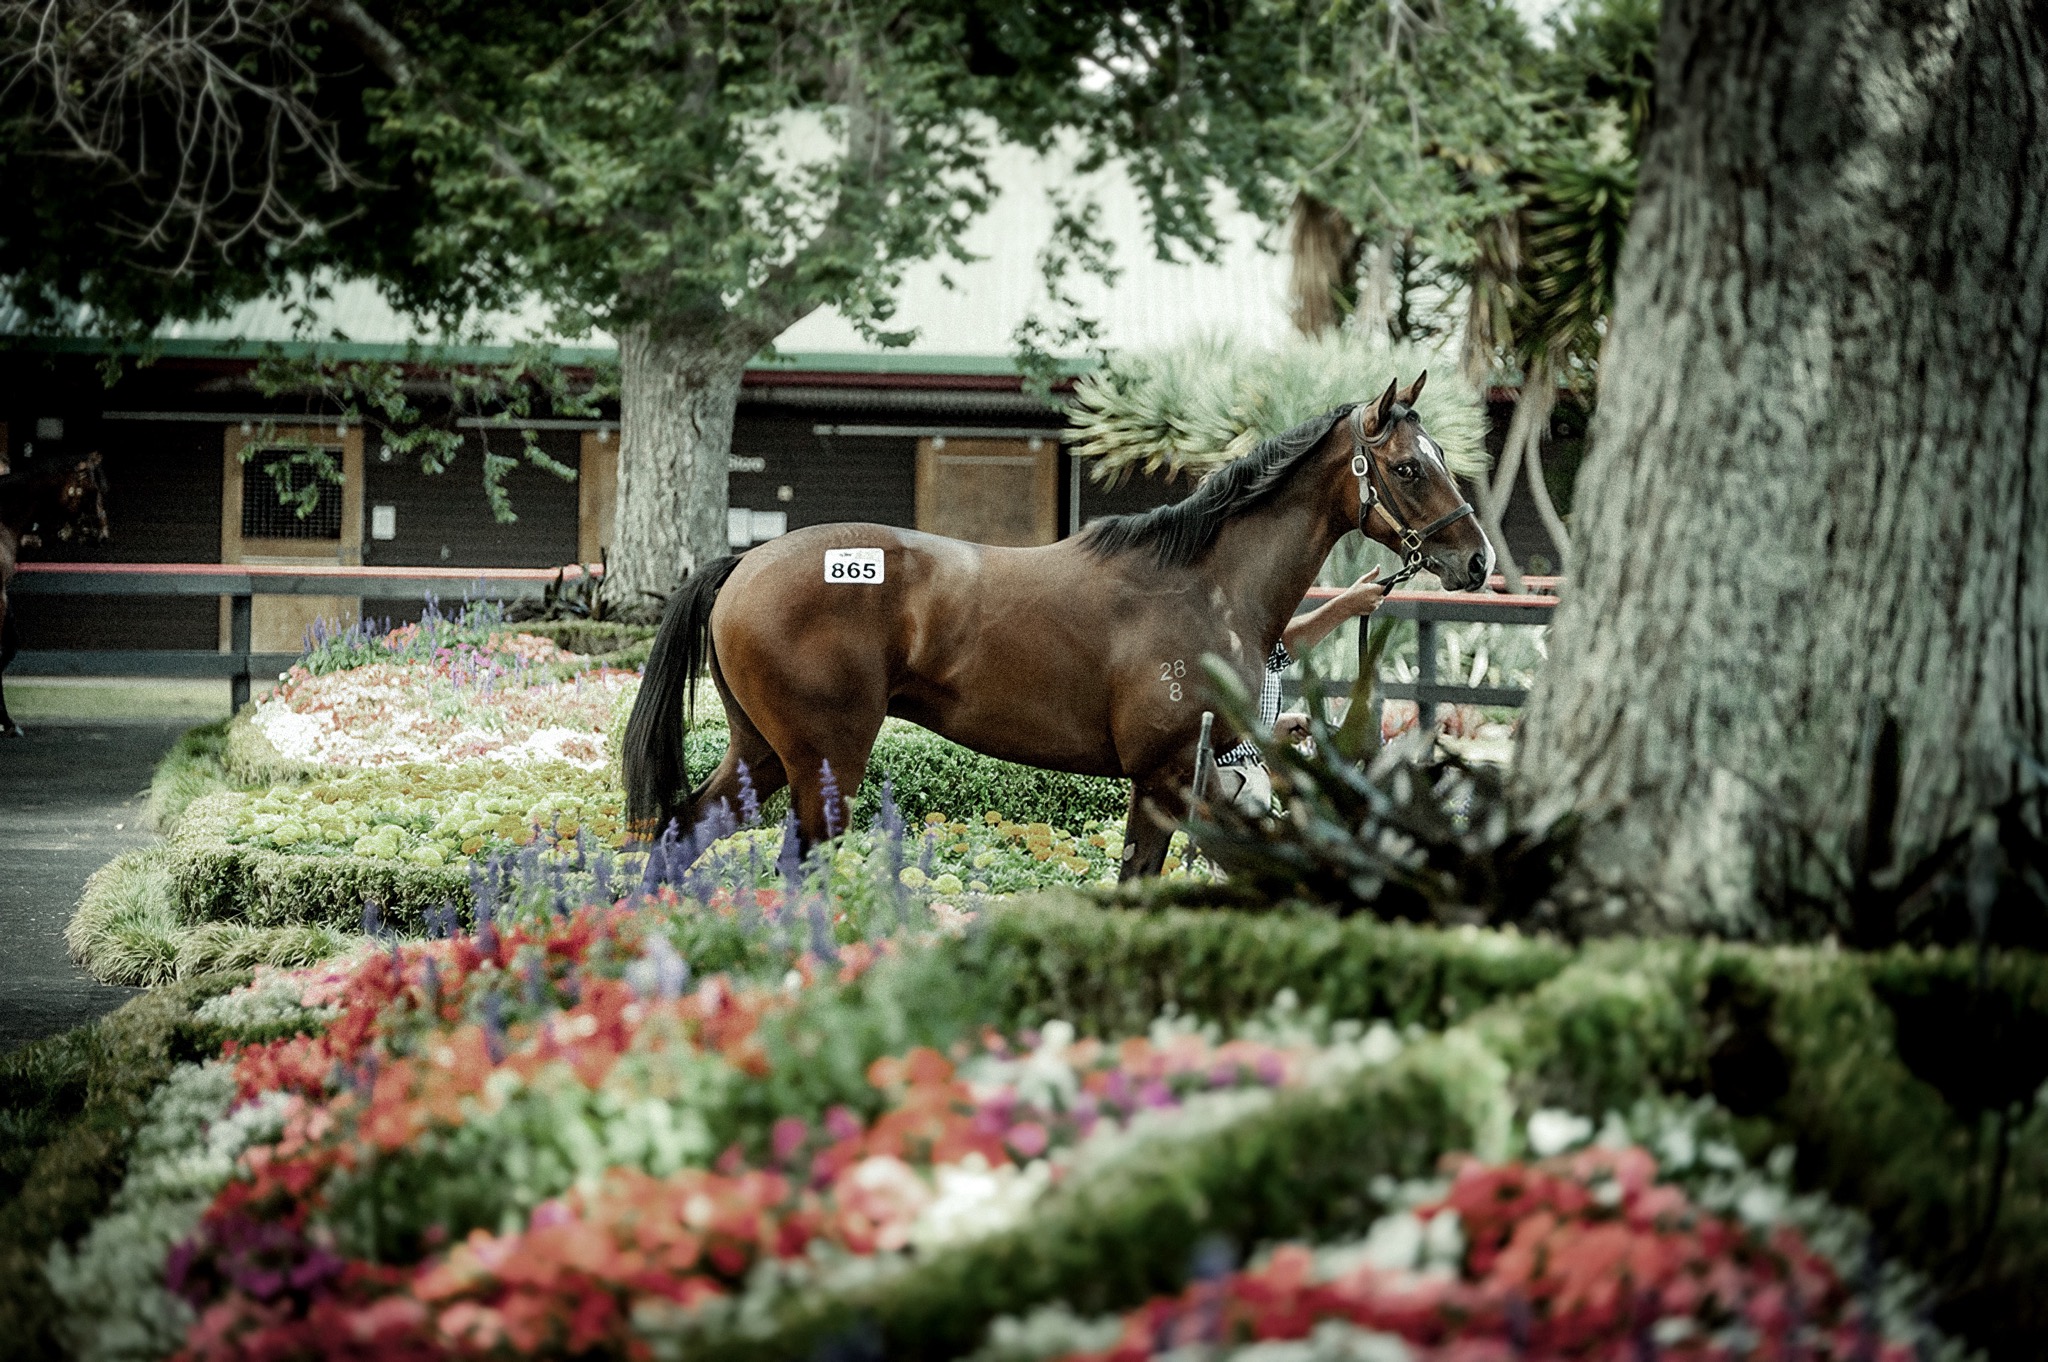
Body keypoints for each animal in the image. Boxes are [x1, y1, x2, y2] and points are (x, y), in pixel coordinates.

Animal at [624, 373, 1493, 879]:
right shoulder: (1169, 775)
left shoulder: (1184, 780)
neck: (1204, 585)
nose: (1476, 558)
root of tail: (742, 565)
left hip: (760, 754)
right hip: (823, 762)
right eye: (1409, 466)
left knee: (681, 832)